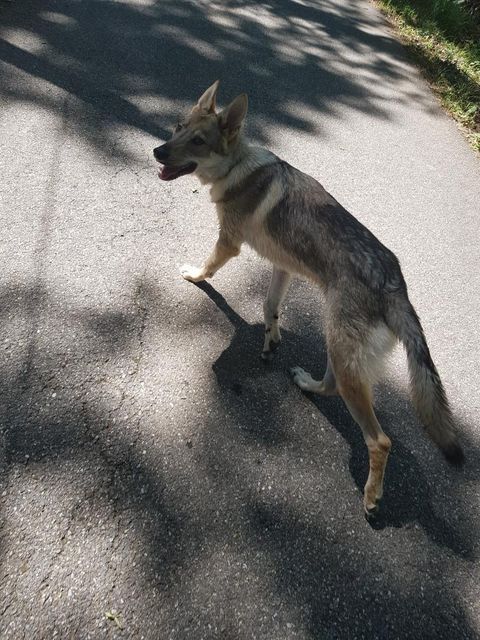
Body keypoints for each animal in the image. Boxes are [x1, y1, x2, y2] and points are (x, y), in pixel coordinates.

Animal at [153, 82, 462, 516]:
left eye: (198, 141)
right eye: (178, 127)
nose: (157, 152)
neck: (238, 167)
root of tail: (394, 284)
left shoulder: (228, 245)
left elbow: (208, 270)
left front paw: (193, 275)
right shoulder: (283, 268)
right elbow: (270, 308)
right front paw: (270, 341)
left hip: (346, 365)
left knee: (380, 441)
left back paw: (372, 497)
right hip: (339, 356)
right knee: (329, 388)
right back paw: (304, 382)